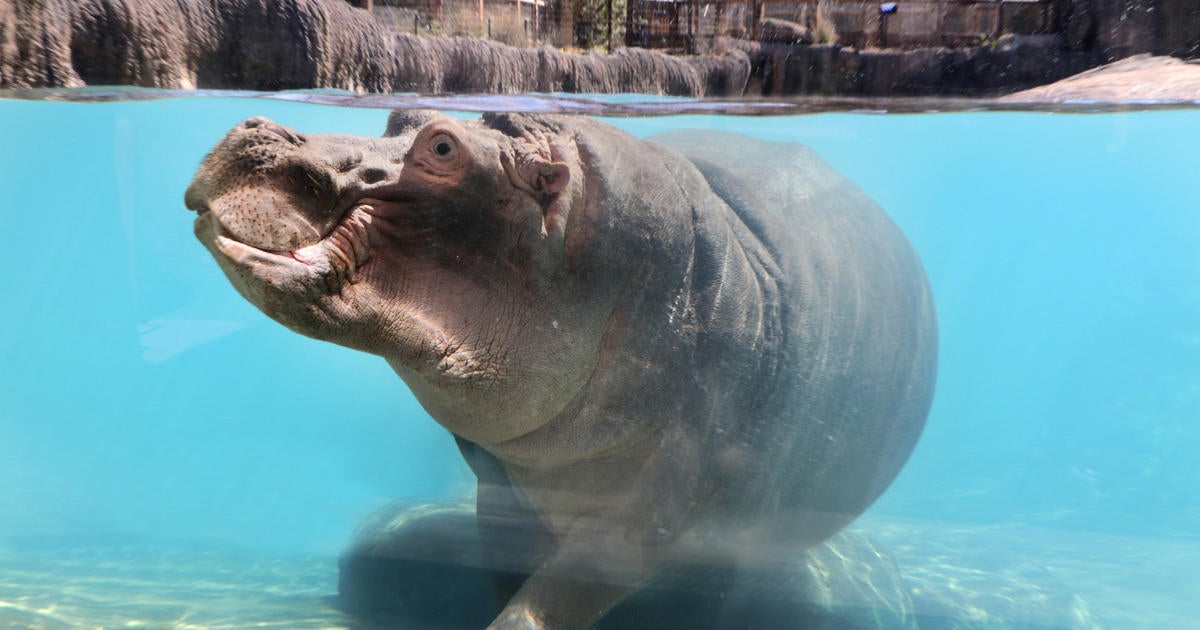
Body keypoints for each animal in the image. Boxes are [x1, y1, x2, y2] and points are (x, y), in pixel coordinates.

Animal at [184, 112, 936, 628]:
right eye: (399, 115)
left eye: (443, 147)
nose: (258, 130)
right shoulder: (498, 482)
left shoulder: (639, 522)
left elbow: (542, 605)